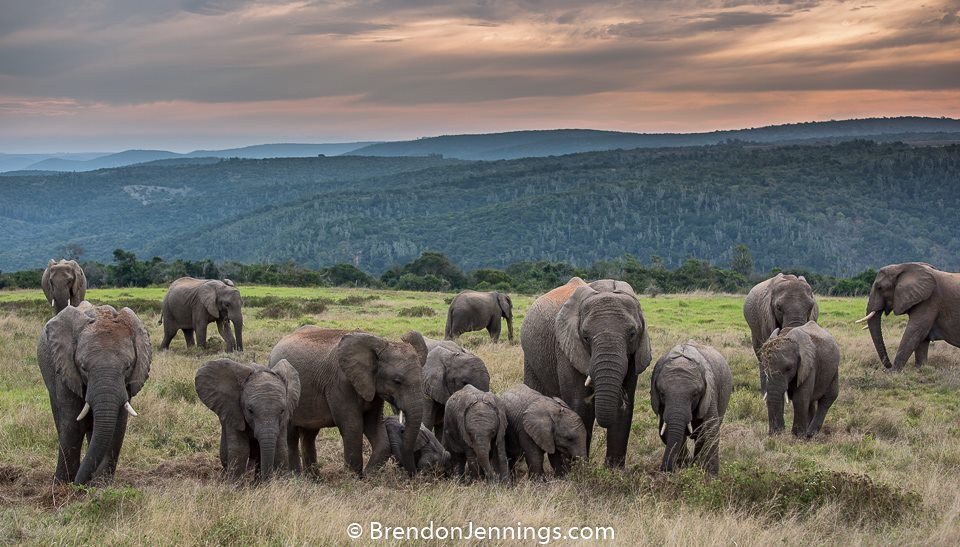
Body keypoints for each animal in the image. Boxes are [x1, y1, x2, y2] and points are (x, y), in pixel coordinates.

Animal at [37, 302, 152, 486]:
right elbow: (72, 423)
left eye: (128, 366)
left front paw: (101, 485)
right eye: (83, 367)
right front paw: (63, 485)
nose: (80, 484)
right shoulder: (66, 370)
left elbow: (117, 425)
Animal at [266, 328, 424, 478]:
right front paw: (353, 479)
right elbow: (353, 427)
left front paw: (368, 476)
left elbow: (375, 426)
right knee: (291, 435)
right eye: (397, 381)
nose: (413, 474)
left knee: (309, 435)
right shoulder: (340, 385)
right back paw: (296, 477)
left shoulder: (372, 388)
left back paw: (314, 479)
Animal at [520, 278, 656, 466]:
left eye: (632, 334)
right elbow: (580, 407)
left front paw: (613, 471)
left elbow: (626, 410)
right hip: (530, 358)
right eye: (585, 337)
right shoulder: (566, 348)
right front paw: (580, 469)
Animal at [648, 342, 732, 476]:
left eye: (695, 394)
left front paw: (712, 477)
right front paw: (684, 465)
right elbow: (667, 431)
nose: (664, 470)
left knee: (702, 436)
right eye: (662, 393)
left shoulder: (710, 393)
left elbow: (711, 430)